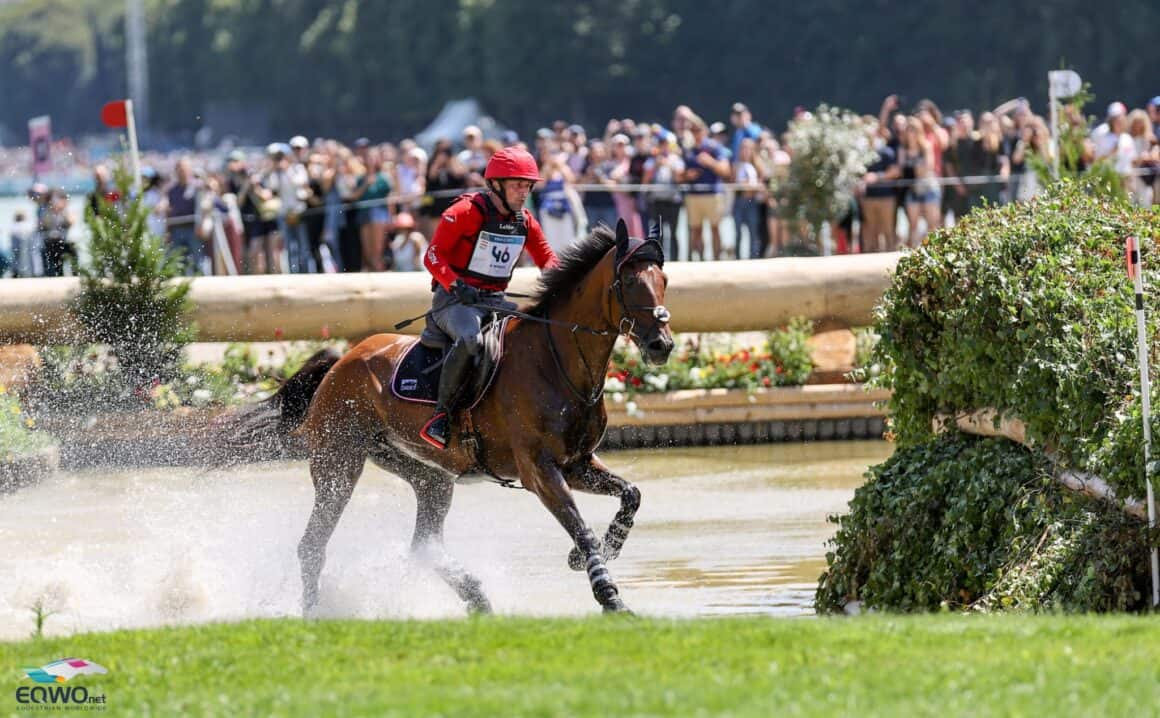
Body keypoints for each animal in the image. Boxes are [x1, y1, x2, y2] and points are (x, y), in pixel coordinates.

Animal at [235, 221, 672, 617]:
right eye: (628, 282)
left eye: (663, 279)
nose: (661, 345)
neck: (557, 362)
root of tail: (342, 361)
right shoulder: (539, 470)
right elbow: (581, 527)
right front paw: (610, 597)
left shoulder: (576, 464)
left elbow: (631, 494)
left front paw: (597, 552)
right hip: (339, 464)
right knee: (312, 544)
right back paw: (313, 613)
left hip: (427, 474)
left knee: (423, 545)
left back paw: (477, 598)